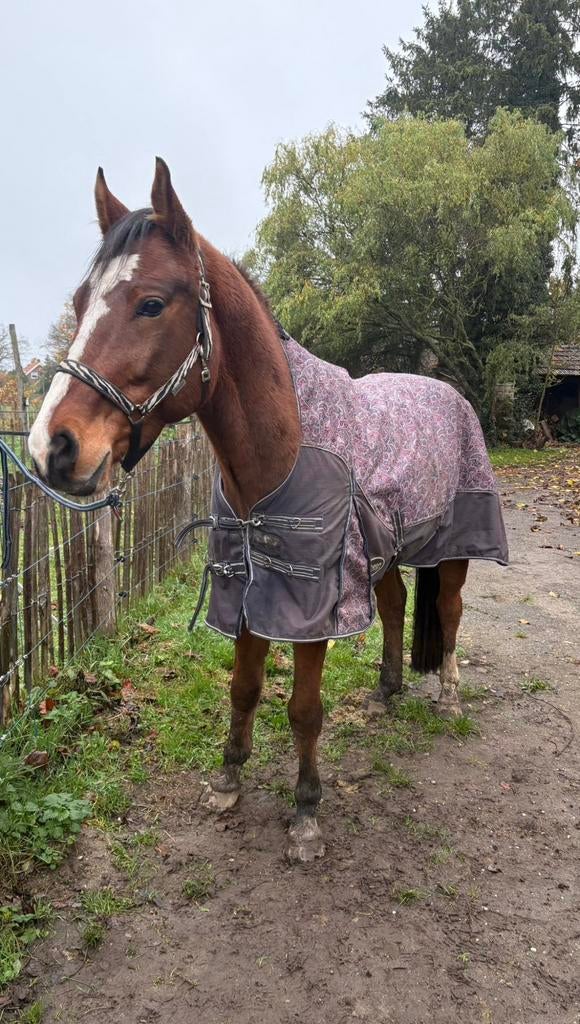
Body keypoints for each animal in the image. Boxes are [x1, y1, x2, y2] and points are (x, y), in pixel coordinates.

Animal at [28, 159, 508, 863]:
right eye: (80, 302)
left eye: (151, 303)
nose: (52, 448)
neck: (279, 446)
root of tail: (450, 392)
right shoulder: (249, 583)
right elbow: (244, 687)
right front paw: (229, 778)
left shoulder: (310, 602)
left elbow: (304, 709)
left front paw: (306, 809)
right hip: (383, 547)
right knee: (395, 604)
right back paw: (387, 690)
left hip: (451, 546)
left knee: (447, 612)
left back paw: (446, 697)